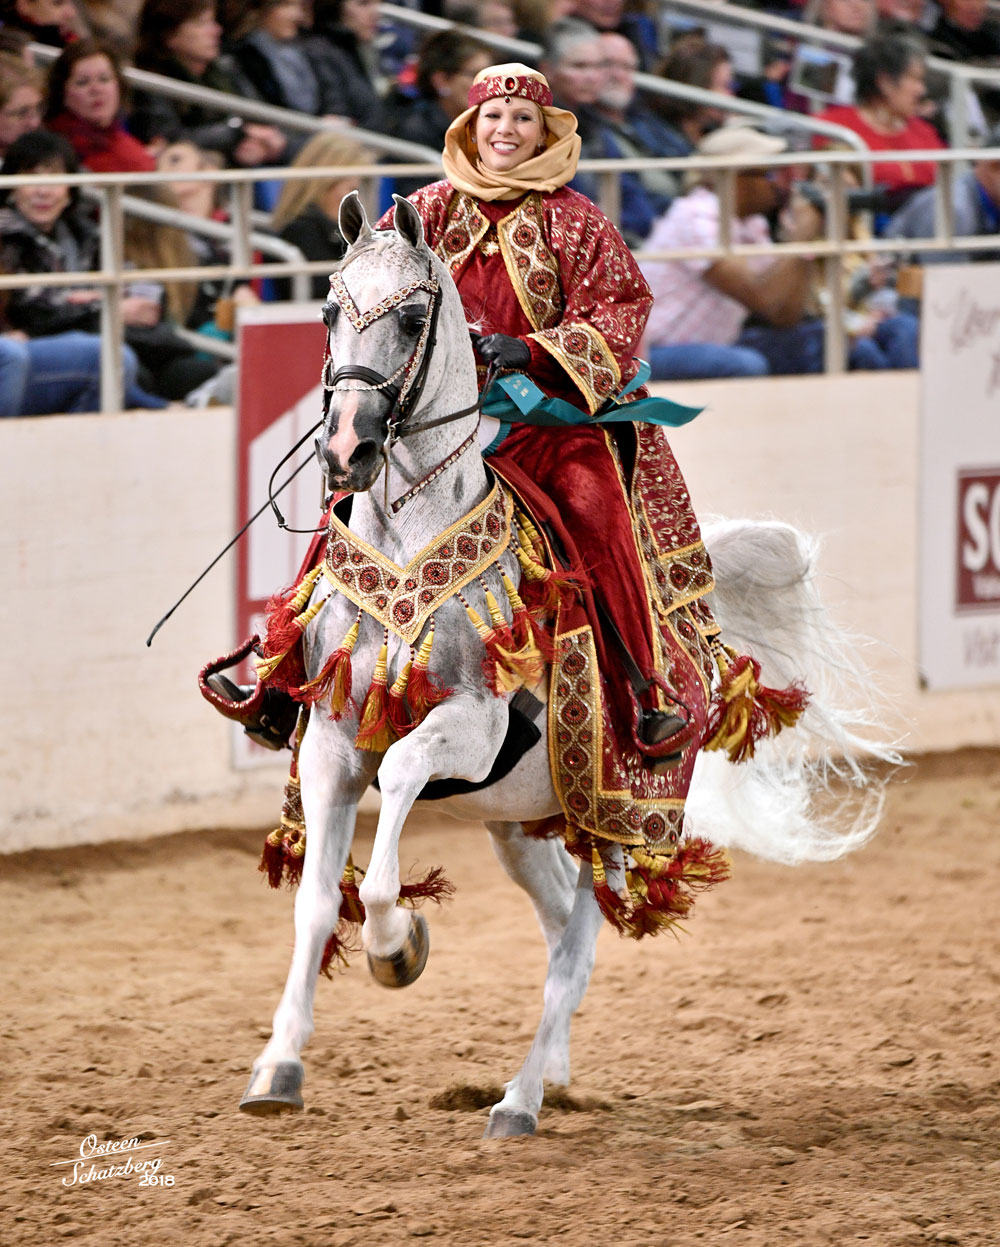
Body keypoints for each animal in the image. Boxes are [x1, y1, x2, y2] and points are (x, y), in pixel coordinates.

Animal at [235, 192, 897, 1142]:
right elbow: (317, 900)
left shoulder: (471, 727)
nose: (347, 450)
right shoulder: (329, 739)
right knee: (556, 932)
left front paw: (399, 945)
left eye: (411, 317)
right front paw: (278, 1066)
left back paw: (518, 1100)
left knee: (577, 947)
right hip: (520, 825)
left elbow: (398, 780)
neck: (411, 539)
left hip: (614, 822)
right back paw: (548, 1075)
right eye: (327, 310)